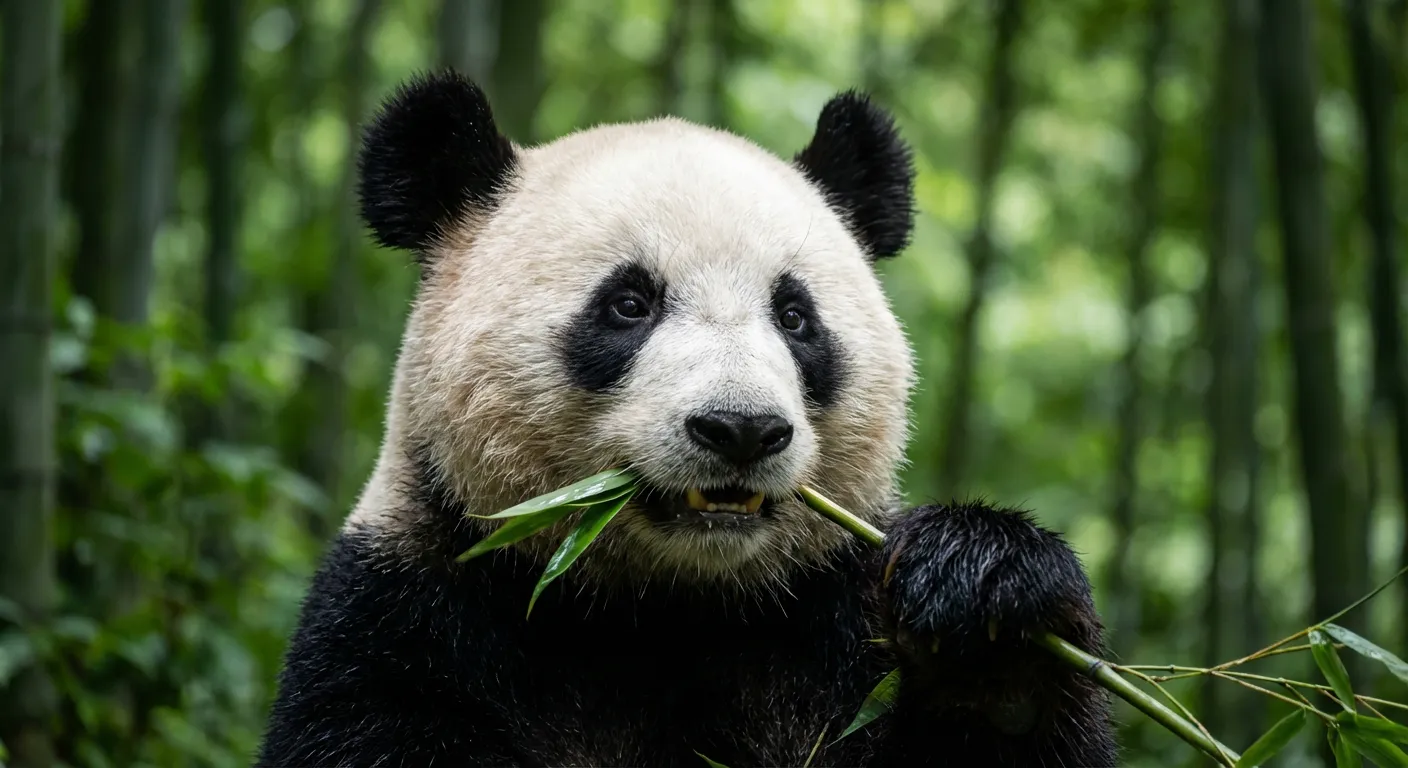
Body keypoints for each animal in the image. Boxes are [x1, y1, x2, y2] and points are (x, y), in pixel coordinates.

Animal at [256, 69, 1117, 767]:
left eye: (795, 317)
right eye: (628, 304)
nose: (741, 430)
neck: (665, 608)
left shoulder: (830, 627)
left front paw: (990, 609)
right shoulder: (409, 621)